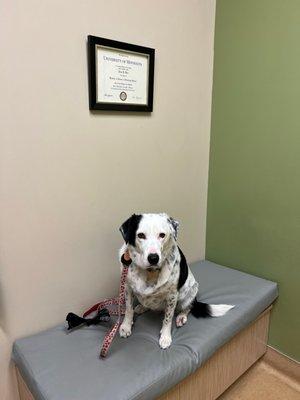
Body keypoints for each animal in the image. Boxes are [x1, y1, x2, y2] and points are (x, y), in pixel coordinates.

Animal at [118, 214, 233, 348]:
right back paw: (142, 307)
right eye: (141, 235)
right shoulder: (127, 288)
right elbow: (128, 309)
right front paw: (126, 326)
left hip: (190, 291)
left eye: (162, 235)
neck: (150, 271)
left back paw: (181, 316)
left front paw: (165, 337)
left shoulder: (172, 295)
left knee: (188, 307)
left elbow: (168, 318)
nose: (153, 258)